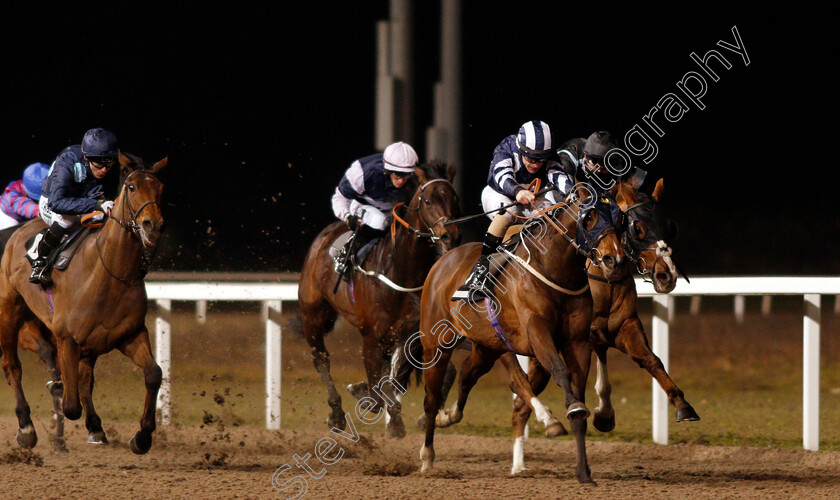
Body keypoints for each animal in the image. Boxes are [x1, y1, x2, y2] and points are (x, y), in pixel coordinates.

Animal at [0, 150, 167, 452]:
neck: (109, 273)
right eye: (132, 187)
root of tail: (18, 231)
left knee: (85, 377)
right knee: (12, 367)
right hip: (9, 311)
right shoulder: (66, 338)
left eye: (161, 188)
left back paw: (93, 428)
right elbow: (70, 404)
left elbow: (153, 374)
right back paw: (26, 428)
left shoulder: (130, 333)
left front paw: (142, 436)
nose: (153, 225)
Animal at [296, 160, 460, 438]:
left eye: (454, 198)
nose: (451, 235)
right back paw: (336, 413)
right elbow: (377, 391)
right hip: (314, 315)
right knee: (321, 358)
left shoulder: (410, 334)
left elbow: (394, 381)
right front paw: (373, 402)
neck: (402, 272)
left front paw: (401, 420)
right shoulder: (371, 337)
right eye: (427, 200)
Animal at [416, 186, 628, 482]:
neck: (554, 268)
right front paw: (565, 413)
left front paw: (584, 471)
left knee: (469, 375)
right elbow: (559, 373)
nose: (614, 260)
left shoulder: (577, 341)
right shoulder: (536, 332)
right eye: (590, 218)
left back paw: (449, 417)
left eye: (620, 219)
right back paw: (427, 456)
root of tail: (443, 262)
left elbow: (575, 390)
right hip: (436, 345)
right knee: (433, 397)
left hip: (488, 347)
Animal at [508, 178, 700, 474]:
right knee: (522, 396)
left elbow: (651, 360)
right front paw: (600, 413)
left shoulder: (624, 325)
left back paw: (520, 462)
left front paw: (682, 404)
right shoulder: (586, 333)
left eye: (668, 225)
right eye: (636, 227)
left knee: (521, 400)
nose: (667, 275)